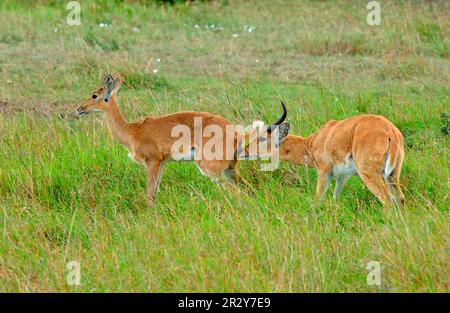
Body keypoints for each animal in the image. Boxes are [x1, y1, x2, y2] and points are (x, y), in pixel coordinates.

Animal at [76, 73, 288, 205]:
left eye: (94, 95)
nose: (79, 109)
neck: (133, 131)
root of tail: (235, 132)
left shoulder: (152, 162)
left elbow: (150, 194)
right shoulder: (162, 163)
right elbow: (155, 192)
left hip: (212, 169)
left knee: (237, 192)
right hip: (229, 169)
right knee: (247, 189)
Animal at [276, 114, 406, 205]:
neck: (312, 143)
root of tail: (390, 131)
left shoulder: (323, 172)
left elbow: (319, 198)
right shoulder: (342, 176)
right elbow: (335, 199)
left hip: (369, 174)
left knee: (388, 199)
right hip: (393, 175)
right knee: (400, 198)